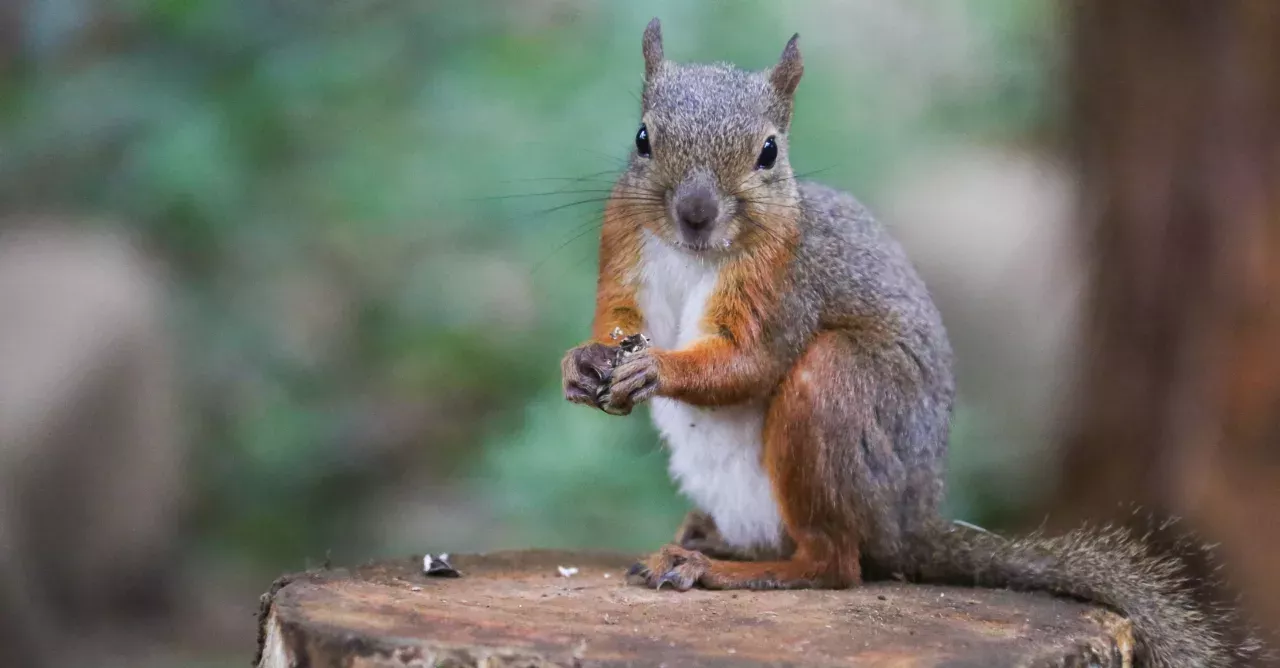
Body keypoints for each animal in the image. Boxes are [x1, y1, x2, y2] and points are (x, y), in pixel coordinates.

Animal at [560, 18, 1261, 668]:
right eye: (643, 138)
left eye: (769, 152)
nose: (696, 213)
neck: (691, 254)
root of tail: (908, 525)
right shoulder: (626, 251)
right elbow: (617, 320)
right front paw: (581, 363)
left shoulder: (789, 286)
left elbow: (749, 363)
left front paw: (655, 368)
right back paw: (709, 540)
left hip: (835, 393)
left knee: (836, 563)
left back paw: (719, 567)